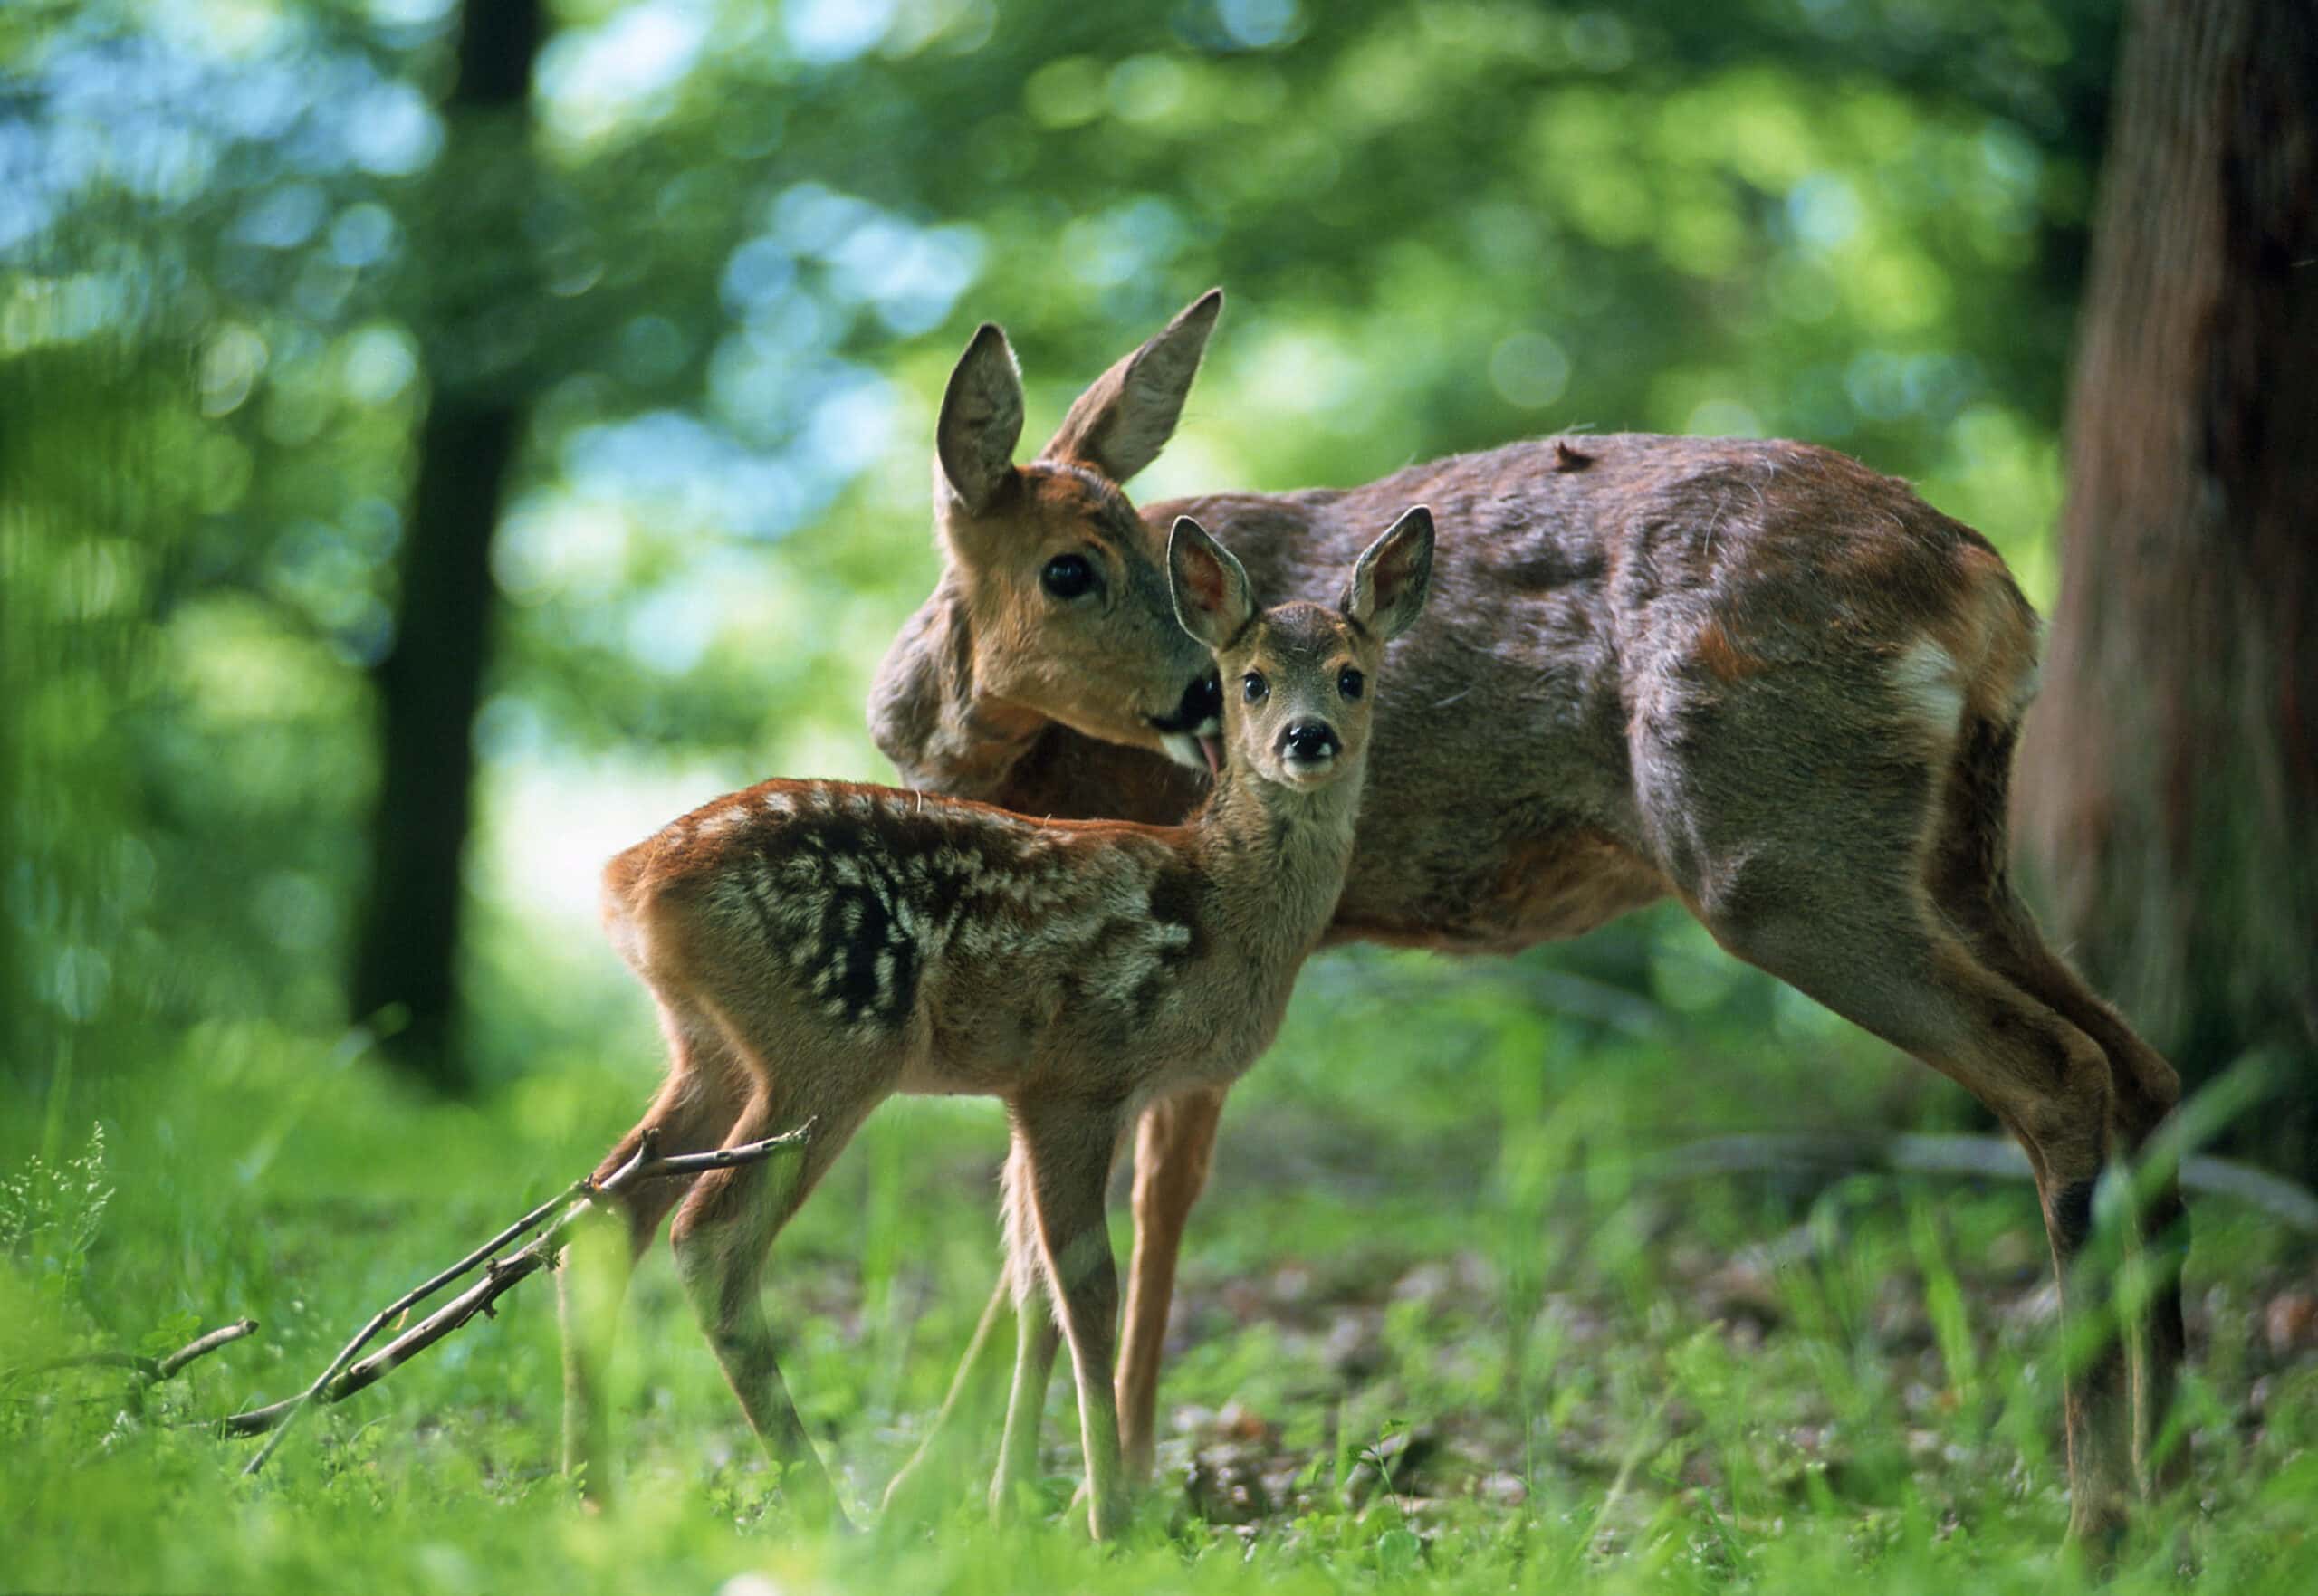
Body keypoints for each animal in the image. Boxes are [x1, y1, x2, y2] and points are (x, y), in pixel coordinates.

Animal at [556, 506, 1436, 1539]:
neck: (1218, 906)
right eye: (1249, 679)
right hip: (832, 1041)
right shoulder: (1080, 1073)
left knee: (605, 1211)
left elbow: (1028, 1285)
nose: (1306, 736)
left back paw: (586, 1490)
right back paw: (821, 1501)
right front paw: (1106, 1518)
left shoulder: (1051, 1092)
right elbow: (1084, 1284)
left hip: (707, 1047)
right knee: (712, 1235)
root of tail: (628, 882)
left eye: (1352, 674)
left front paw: (1007, 1501)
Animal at [862, 290, 2189, 1548]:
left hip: (1773, 846)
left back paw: (2100, 1511)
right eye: (1070, 567)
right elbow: (1092, 1220)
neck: (989, 751)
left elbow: (1066, 1236)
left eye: (1142, 547)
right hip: (1956, 853)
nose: (1207, 700)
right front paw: (1025, 1479)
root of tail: (1990, 593)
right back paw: (2176, 1476)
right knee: (2143, 1065)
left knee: (2060, 1072)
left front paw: (1028, 1490)